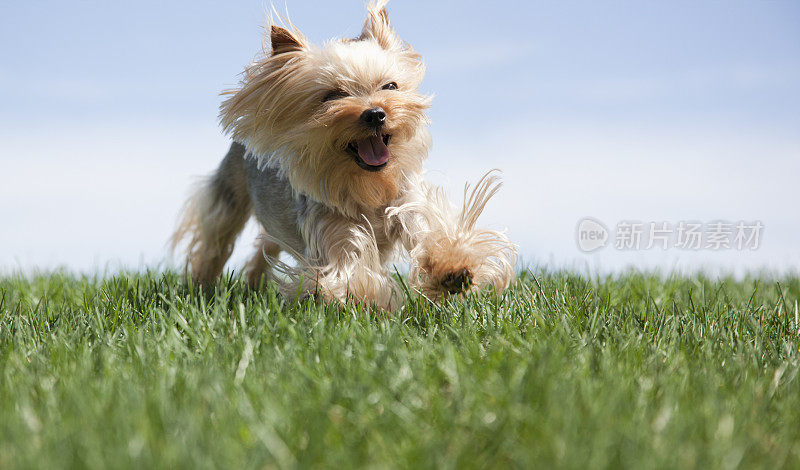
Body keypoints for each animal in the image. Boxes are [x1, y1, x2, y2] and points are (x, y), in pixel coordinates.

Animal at [171, 1, 516, 310]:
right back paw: (202, 284)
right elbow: (348, 268)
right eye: (333, 95)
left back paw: (254, 280)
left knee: (267, 240)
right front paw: (363, 300)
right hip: (231, 189)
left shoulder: (406, 201)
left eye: (390, 86)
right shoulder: (333, 226)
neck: (369, 186)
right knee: (218, 235)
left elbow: (428, 232)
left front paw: (452, 270)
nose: (375, 114)